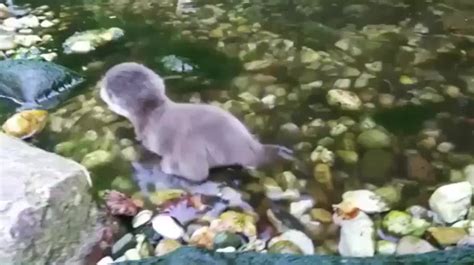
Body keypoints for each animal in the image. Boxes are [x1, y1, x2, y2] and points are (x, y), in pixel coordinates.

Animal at [100, 62, 292, 182]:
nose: (99, 85)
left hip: (190, 148)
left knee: (198, 174)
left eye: (104, 86)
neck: (152, 112)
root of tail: (250, 148)